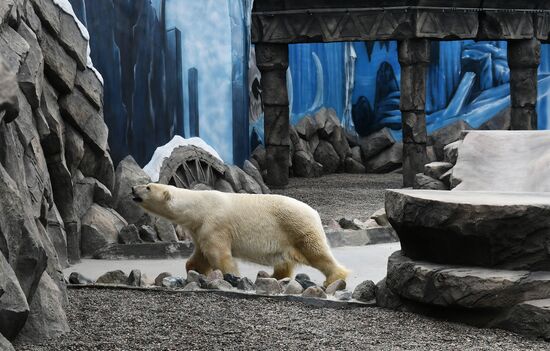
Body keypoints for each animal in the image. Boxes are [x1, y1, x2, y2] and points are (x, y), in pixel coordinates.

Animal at [133, 183, 350, 288]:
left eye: (148, 186)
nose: (133, 188)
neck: (198, 207)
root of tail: (314, 212)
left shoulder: (215, 224)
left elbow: (219, 254)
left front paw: (233, 277)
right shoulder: (199, 229)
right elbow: (200, 256)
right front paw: (195, 271)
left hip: (296, 226)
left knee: (316, 253)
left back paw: (334, 278)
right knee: (284, 261)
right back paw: (273, 277)